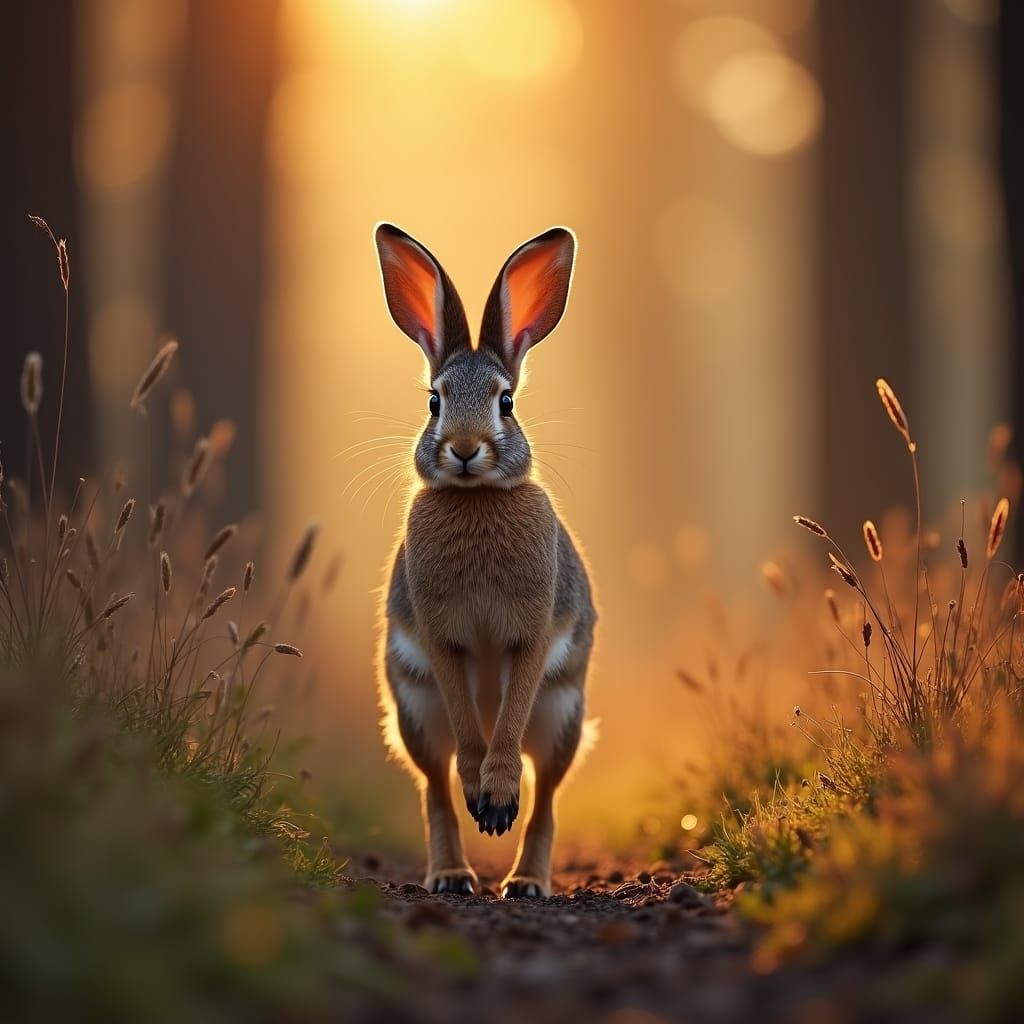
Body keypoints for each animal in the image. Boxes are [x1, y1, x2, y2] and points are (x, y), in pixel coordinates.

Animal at [373, 222, 597, 899]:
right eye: (433, 402)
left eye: (506, 403)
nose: (466, 450)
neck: (475, 501)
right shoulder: (439, 639)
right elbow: (468, 739)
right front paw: (484, 795)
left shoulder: (534, 631)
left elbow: (512, 713)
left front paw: (498, 800)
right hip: (416, 714)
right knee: (435, 790)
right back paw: (452, 875)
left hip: (563, 717)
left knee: (545, 797)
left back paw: (525, 882)